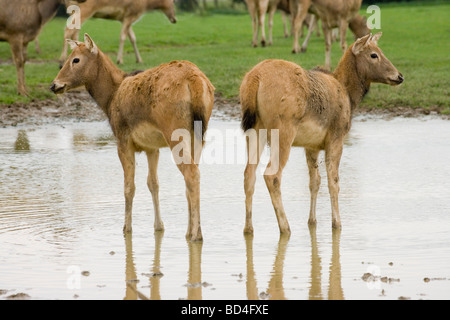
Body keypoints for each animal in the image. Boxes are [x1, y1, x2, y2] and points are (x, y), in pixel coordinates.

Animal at [51, 34, 214, 240]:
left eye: (76, 59)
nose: (54, 85)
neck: (109, 99)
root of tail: (196, 81)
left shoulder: (123, 140)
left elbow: (129, 187)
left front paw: (126, 229)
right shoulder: (152, 147)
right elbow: (153, 183)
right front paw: (159, 226)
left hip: (174, 131)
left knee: (191, 174)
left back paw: (196, 235)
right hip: (199, 133)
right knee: (193, 175)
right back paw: (189, 231)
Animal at [239, 32, 404, 234]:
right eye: (374, 54)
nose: (399, 76)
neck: (350, 96)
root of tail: (254, 79)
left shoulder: (311, 145)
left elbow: (315, 182)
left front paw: (312, 221)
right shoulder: (336, 137)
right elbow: (334, 182)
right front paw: (337, 223)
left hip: (254, 129)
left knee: (248, 174)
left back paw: (248, 228)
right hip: (283, 130)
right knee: (272, 175)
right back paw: (285, 227)